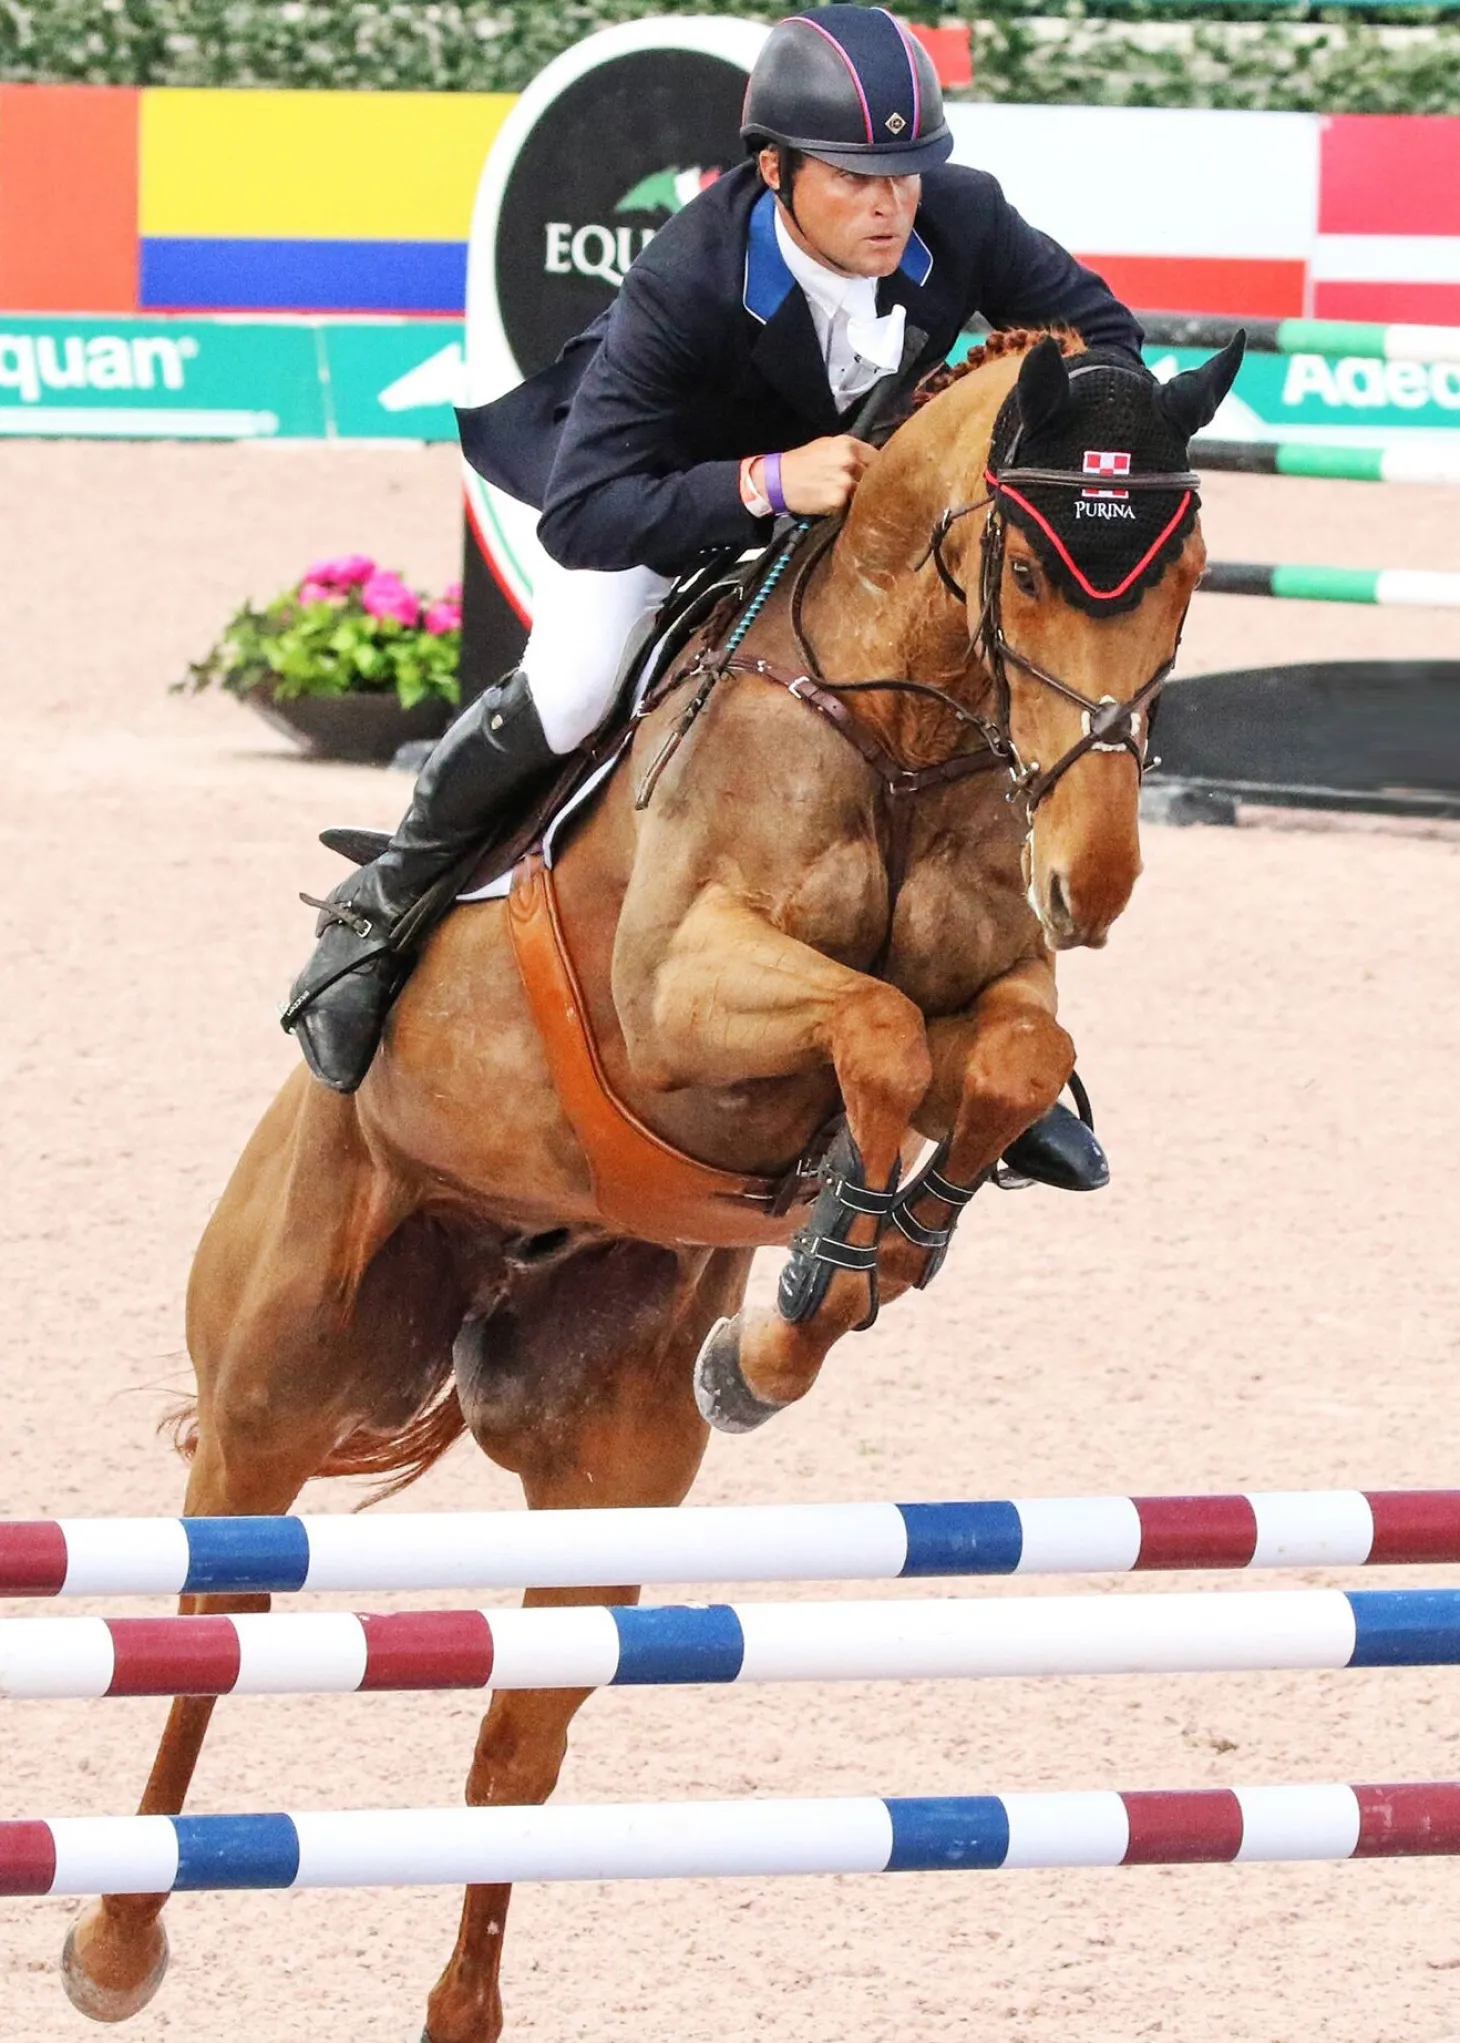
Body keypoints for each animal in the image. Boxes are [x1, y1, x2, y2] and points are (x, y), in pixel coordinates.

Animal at [61, 327, 1240, 2041]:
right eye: (1028, 563)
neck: (899, 737)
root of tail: (490, 1277)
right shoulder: (683, 997)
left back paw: (458, 2004)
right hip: (274, 1392)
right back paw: (112, 1942)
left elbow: (1002, 1057)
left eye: (1192, 567)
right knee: (210, 1634)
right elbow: (877, 1028)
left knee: (513, 1751)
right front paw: (817, 1285)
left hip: (603, 1478)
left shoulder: (999, 987)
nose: (1091, 881)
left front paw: (828, 1288)